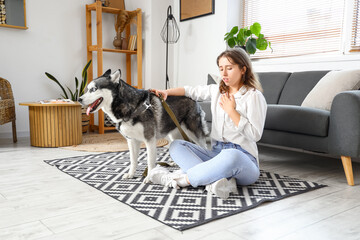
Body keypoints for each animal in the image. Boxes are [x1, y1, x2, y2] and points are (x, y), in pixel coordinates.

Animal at [79, 69, 208, 182]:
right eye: (87, 89)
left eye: (94, 89)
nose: (79, 99)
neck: (131, 107)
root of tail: (193, 98)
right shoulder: (132, 140)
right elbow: (133, 160)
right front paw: (131, 174)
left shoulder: (149, 140)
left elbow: (150, 162)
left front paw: (149, 178)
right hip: (174, 134)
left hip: (194, 132)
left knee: (204, 147)